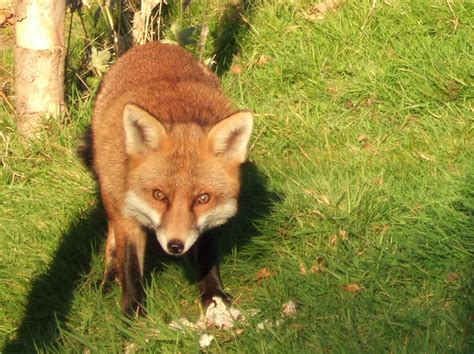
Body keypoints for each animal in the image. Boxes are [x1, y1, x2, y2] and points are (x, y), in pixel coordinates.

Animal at [80, 42, 256, 316]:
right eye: (158, 195)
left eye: (202, 198)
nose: (175, 245)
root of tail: (153, 45)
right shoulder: (127, 213)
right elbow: (130, 265)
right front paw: (133, 312)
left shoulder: (205, 221)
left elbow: (206, 254)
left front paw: (213, 295)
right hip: (110, 193)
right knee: (112, 239)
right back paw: (109, 277)